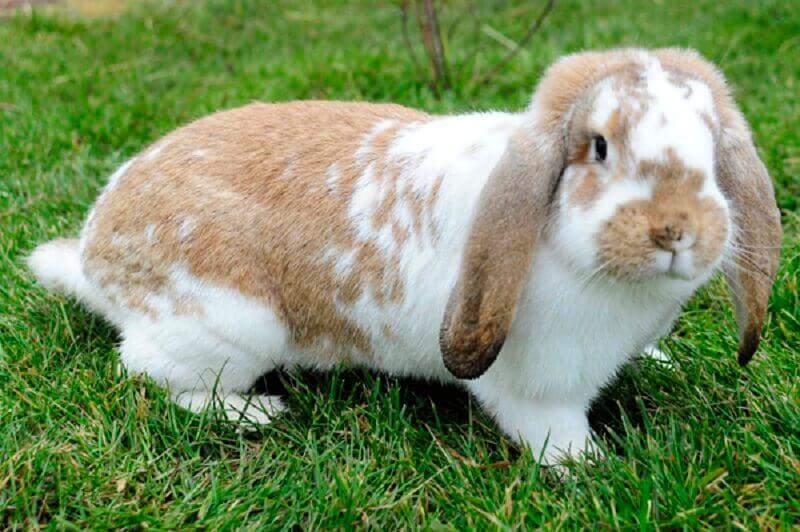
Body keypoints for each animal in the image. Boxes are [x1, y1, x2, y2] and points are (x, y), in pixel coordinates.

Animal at [29, 47, 781, 464]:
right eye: (598, 146)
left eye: (712, 148)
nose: (676, 231)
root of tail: (95, 253)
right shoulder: (538, 388)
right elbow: (552, 431)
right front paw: (593, 465)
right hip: (233, 328)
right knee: (144, 369)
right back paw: (255, 413)